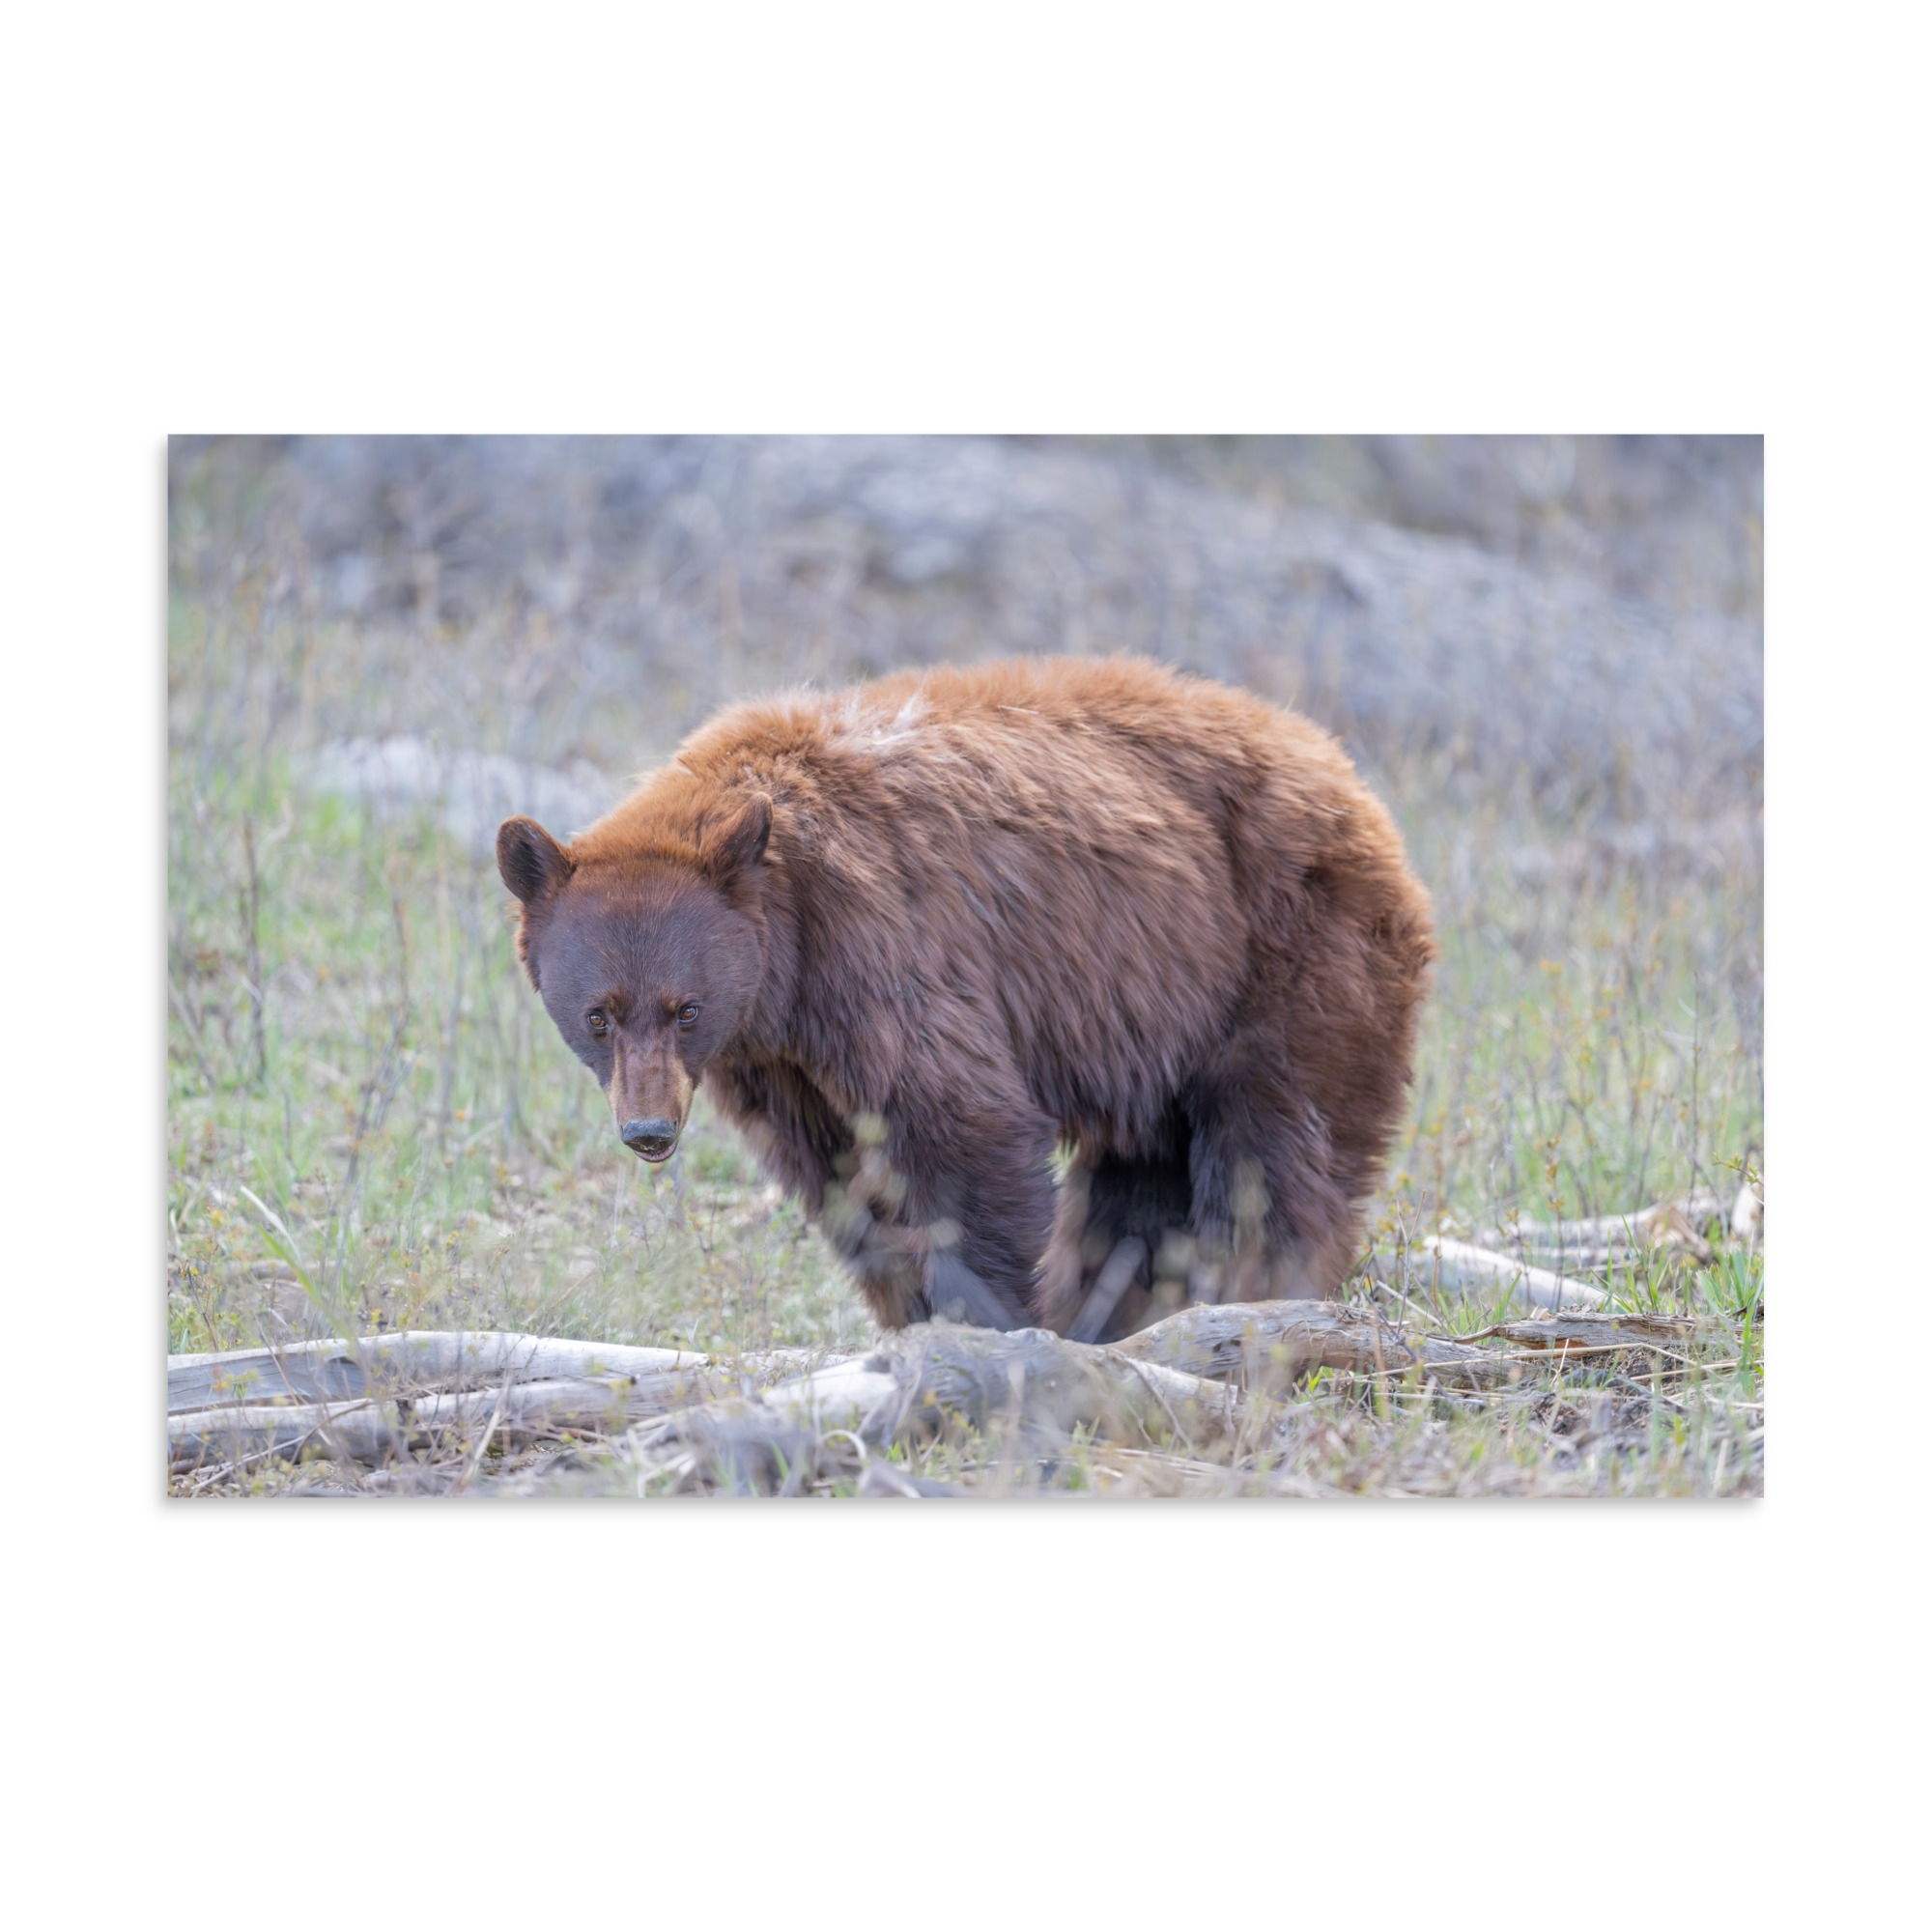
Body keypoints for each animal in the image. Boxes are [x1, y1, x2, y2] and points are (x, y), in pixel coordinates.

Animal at [496, 656, 1434, 1342]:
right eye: (599, 1015)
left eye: (684, 1008)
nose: (648, 1131)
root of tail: (1345, 772)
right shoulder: (779, 1060)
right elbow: (840, 1175)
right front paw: (912, 1314)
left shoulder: (884, 948)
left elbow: (961, 1128)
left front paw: (986, 1320)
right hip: (1161, 1015)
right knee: (1141, 1178)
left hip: (1286, 953)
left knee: (1273, 1148)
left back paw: (1250, 1293)